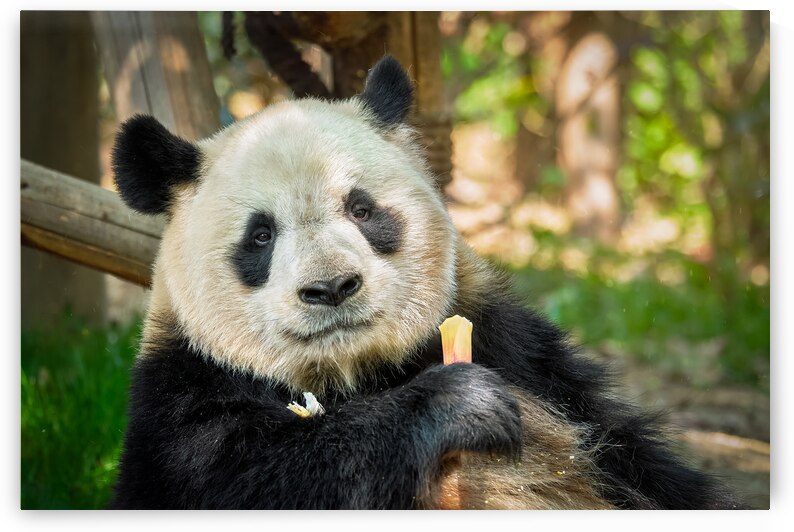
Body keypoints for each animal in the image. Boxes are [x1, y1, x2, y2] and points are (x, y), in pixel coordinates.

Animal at [109, 55, 740, 510]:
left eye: (362, 209)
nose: (331, 288)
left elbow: (639, 464)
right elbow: (255, 474)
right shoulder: (182, 402)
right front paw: (458, 404)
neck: (354, 375)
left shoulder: (519, 351)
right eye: (260, 236)